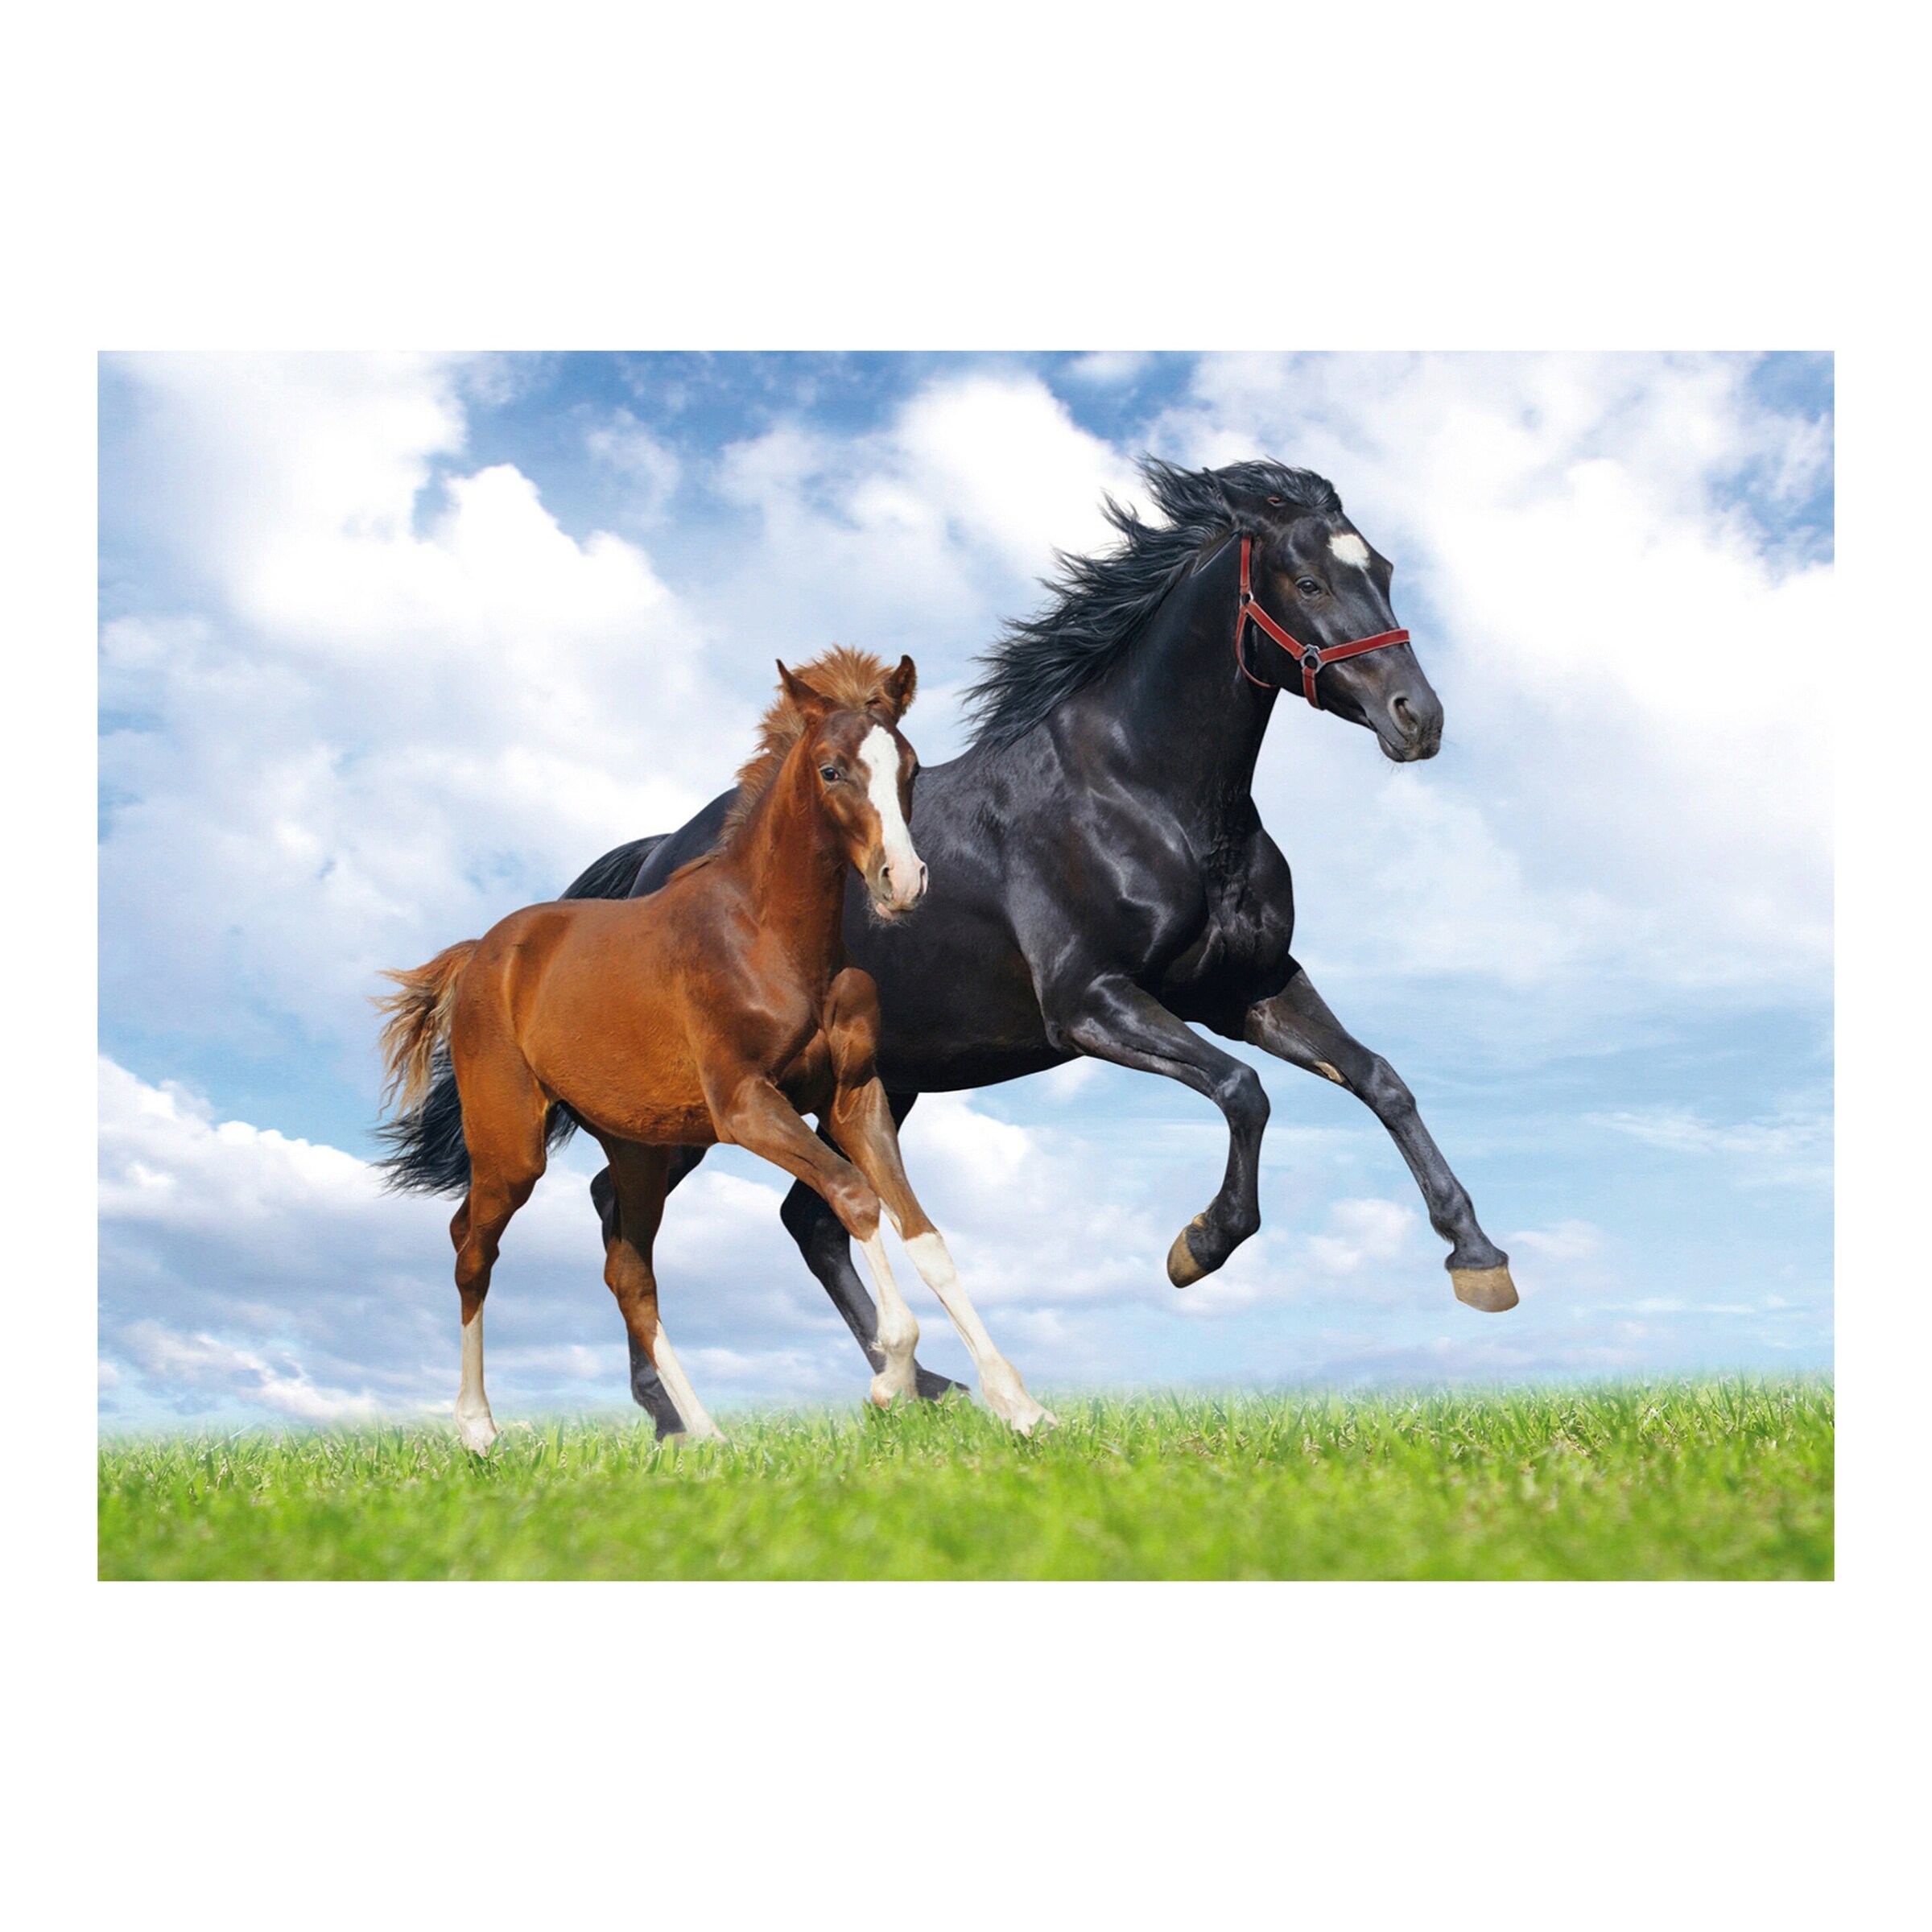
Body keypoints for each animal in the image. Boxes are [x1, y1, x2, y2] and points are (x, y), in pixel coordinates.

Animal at [375, 649, 1054, 1449]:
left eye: (910, 767)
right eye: (830, 769)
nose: (903, 881)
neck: (771, 941)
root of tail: (483, 951)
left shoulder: (855, 1097)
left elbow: (922, 1233)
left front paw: (1020, 1406)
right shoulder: (746, 1105)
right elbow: (855, 1198)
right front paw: (892, 1375)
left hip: (635, 1147)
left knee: (629, 1273)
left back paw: (703, 1433)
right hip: (513, 1145)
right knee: (472, 1246)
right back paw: (479, 1429)